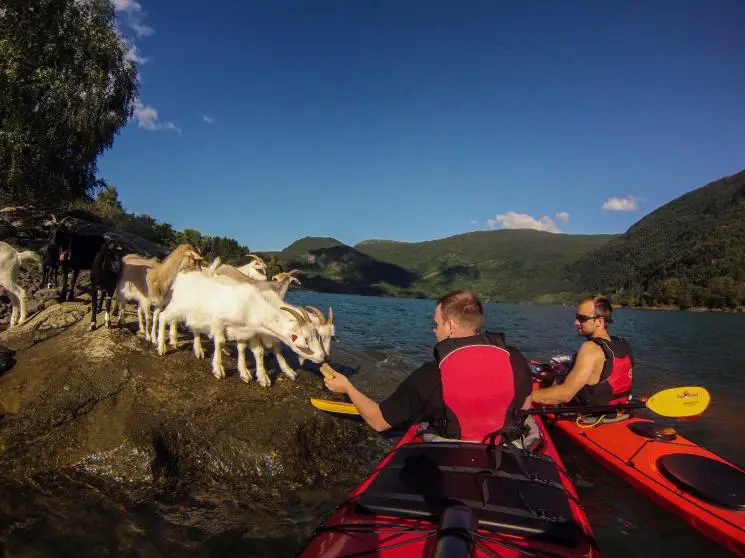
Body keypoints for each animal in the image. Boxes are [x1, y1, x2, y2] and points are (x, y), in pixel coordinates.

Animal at [155, 272, 324, 380]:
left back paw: (198, 350)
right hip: (177, 307)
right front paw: (218, 369)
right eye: (304, 339)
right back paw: (162, 346)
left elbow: (247, 350)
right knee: (163, 317)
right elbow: (220, 342)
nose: (322, 356)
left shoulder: (245, 331)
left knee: (194, 328)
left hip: (195, 316)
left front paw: (247, 373)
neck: (250, 306)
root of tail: (181, 277)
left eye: (316, 335)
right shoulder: (219, 322)